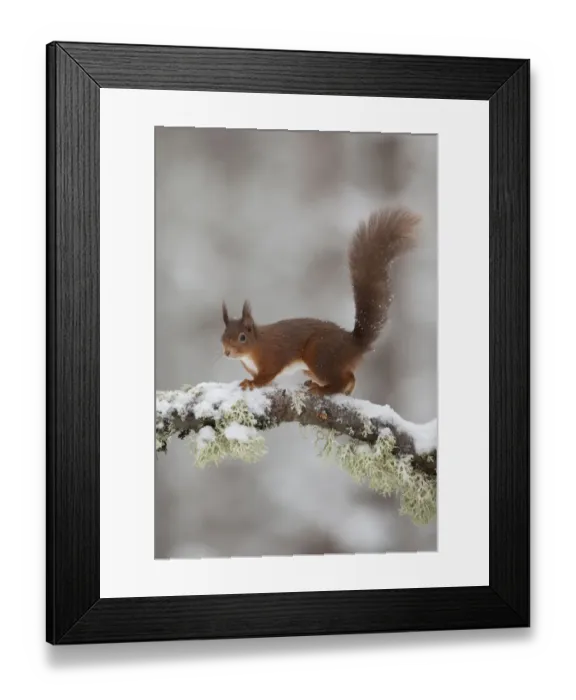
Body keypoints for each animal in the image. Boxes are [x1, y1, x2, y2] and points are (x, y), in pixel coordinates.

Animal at [221, 207, 421, 396]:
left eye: (242, 337)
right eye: (222, 336)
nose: (227, 352)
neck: (254, 347)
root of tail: (353, 344)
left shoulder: (272, 357)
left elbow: (266, 376)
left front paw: (251, 383)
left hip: (319, 354)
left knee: (342, 379)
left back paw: (322, 389)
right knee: (350, 376)